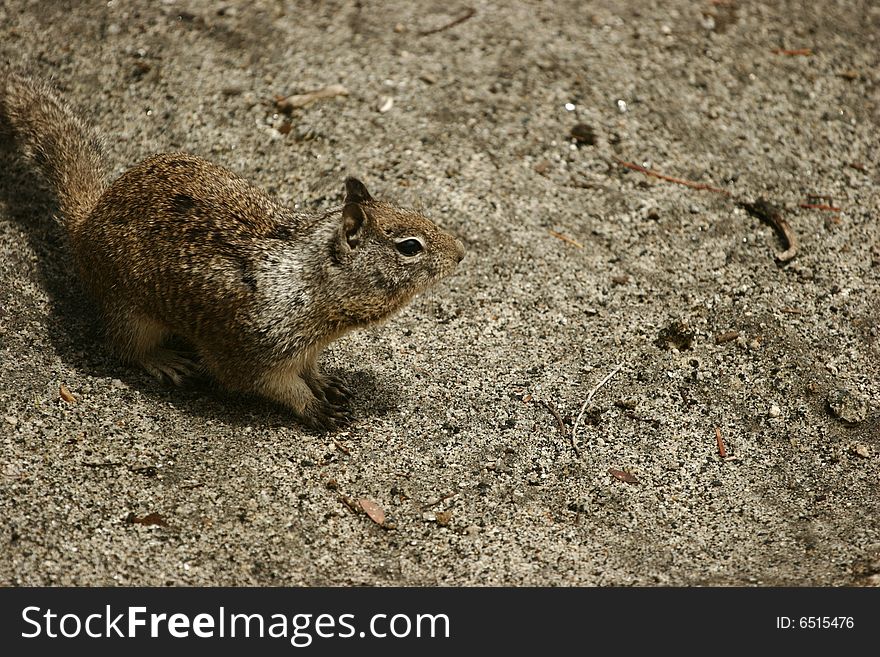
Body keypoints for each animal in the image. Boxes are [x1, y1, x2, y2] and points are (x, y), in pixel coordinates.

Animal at [0, 72, 468, 430]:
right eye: (409, 247)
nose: (462, 253)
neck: (313, 286)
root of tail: (86, 222)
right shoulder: (253, 354)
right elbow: (275, 386)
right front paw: (314, 407)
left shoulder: (307, 347)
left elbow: (311, 369)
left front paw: (326, 382)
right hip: (131, 314)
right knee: (123, 347)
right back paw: (165, 360)